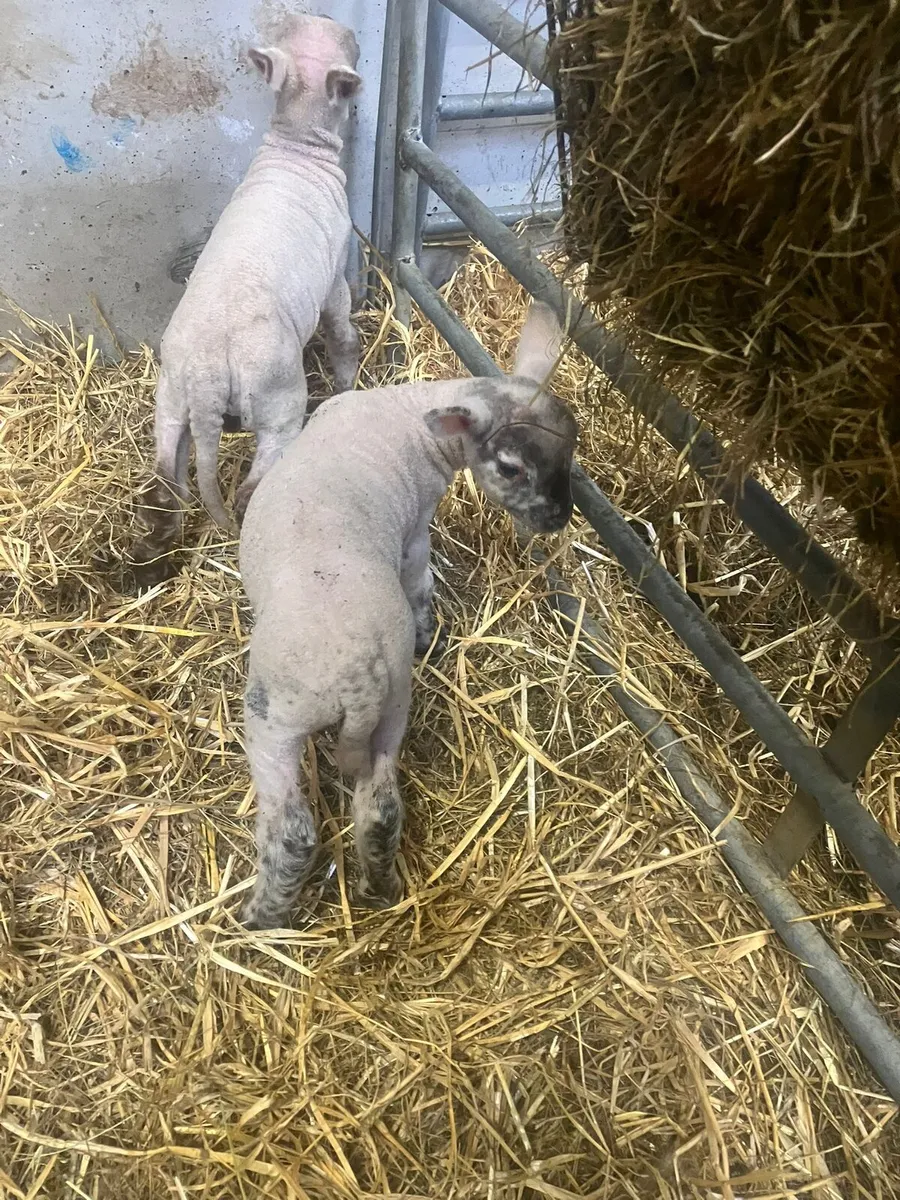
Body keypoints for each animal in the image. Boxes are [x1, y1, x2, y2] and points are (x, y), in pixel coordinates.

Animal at [131, 14, 362, 589]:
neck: (296, 146)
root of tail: (207, 377)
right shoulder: (335, 272)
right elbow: (342, 332)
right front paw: (348, 378)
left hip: (171, 403)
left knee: (165, 484)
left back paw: (153, 553)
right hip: (278, 402)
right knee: (249, 488)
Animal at [237, 301, 578, 930]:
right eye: (512, 468)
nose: (558, 519)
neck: (411, 418)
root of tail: (360, 680)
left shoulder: (418, 524)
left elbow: (419, 575)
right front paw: (429, 636)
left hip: (275, 718)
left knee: (294, 831)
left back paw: (261, 916)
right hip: (395, 704)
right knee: (380, 808)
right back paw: (380, 887)